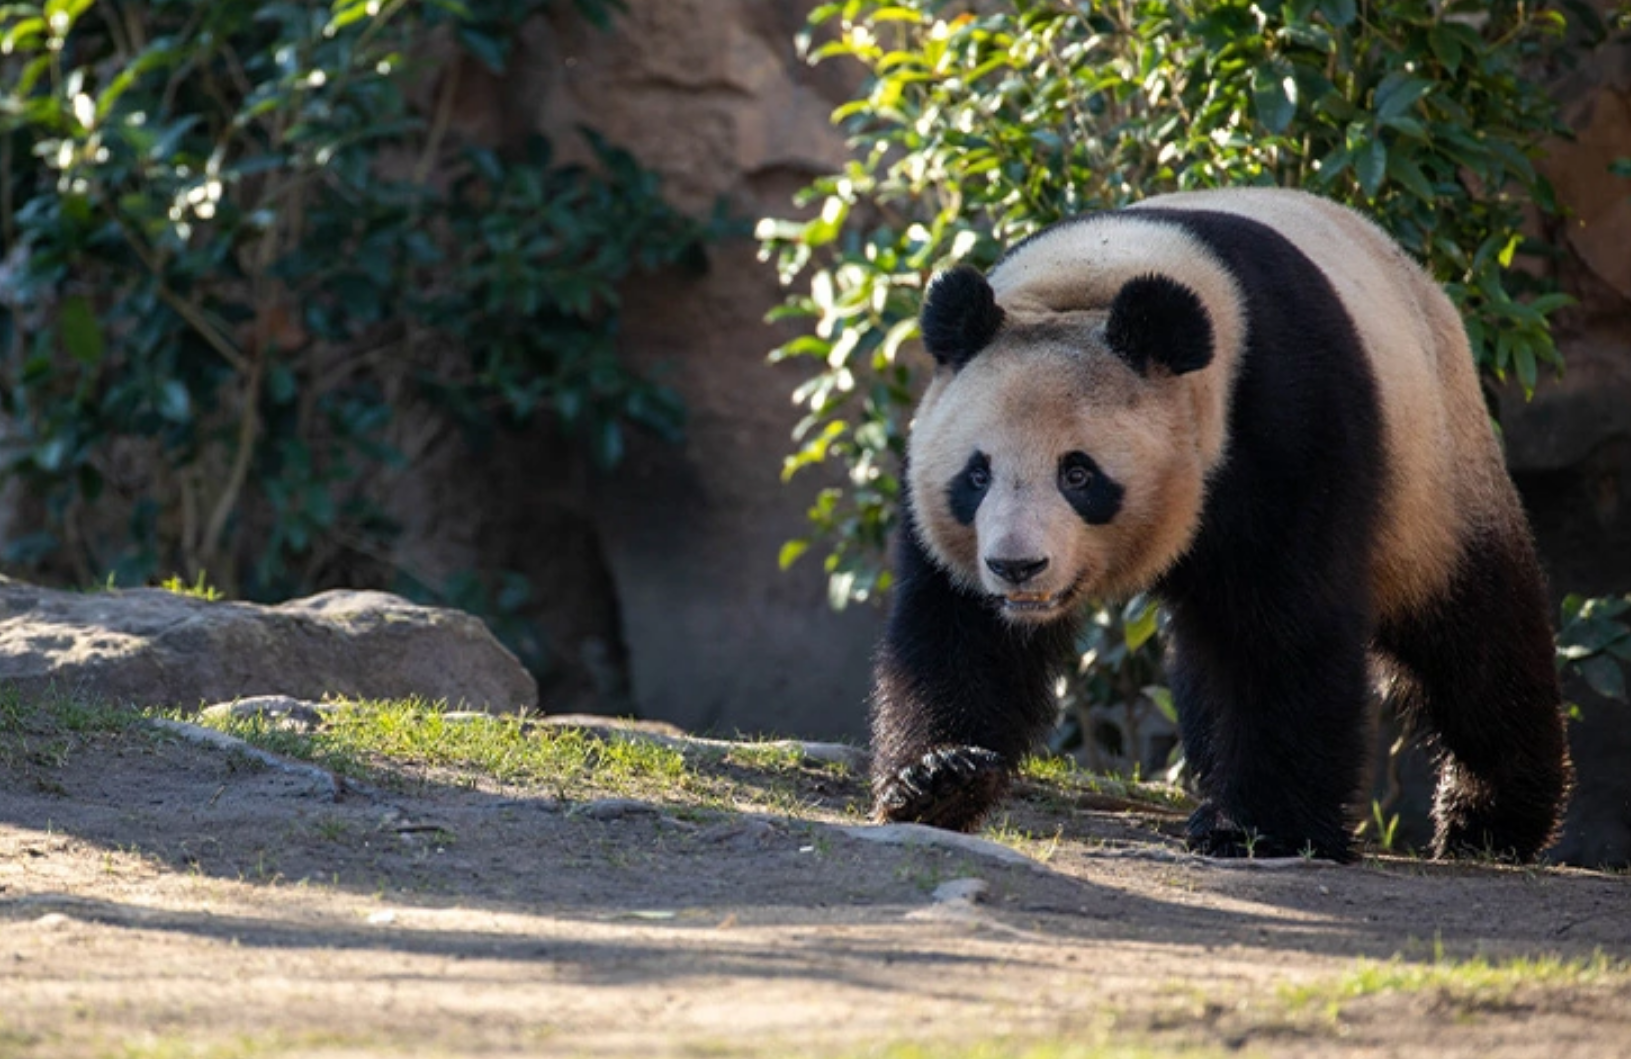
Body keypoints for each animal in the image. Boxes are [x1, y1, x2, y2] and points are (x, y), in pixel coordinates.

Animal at [874, 187, 1572, 861]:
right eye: (977, 475)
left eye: (1078, 474)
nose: (1016, 567)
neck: (1092, 281)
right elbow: (959, 629)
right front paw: (939, 778)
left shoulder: (1284, 424)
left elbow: (1282, 626)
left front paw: (1261, 828)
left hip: (1433, 472)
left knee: (1475, 637)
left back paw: (1492, 820)